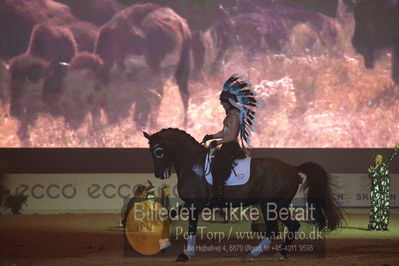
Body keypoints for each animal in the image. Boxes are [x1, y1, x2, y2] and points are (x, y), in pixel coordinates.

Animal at [144, 129, 344, 262]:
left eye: (158, 151)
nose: (160, 174)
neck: (191, 163)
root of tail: (293, 169)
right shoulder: (193, 205)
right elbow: (176, 219)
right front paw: (174, 248)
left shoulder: (194, 204)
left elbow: (179, 221)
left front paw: (179, 251)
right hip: (280, 206)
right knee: (293, 226)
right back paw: (280, 253)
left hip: (269, 206)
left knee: (274, 230)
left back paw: (253, 254)